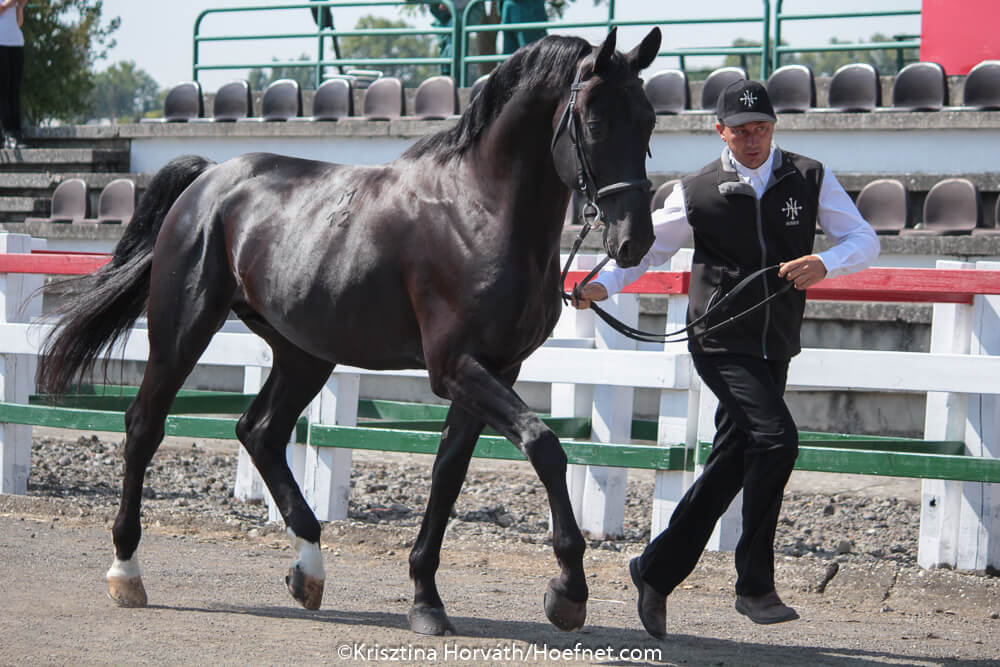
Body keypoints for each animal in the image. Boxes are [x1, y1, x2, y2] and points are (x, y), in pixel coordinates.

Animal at [37, 27, 662, 635]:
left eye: (650, 119)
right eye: (596, 122)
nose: (635, 240)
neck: (478, 211)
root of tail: (209, 180)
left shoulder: (496, 370)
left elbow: (449, 472)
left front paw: (426, 599)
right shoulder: (456, 367)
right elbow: (544, 445)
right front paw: (568, 592)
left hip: (304, 352)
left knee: (259, 431)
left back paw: (308, 570)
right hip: (182, 330)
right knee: (145, 427)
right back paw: (126, 572)